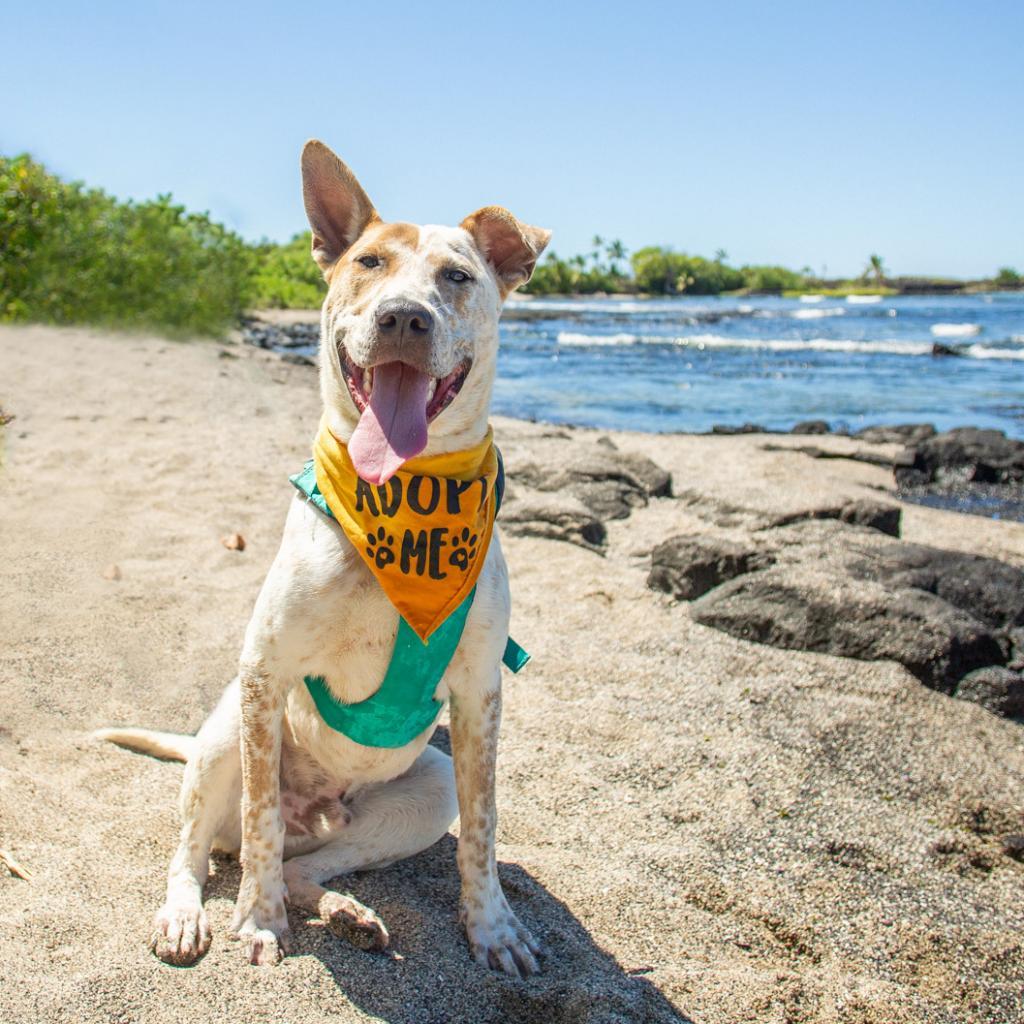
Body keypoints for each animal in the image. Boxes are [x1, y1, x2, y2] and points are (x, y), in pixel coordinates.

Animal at [97, 138, 552, 974]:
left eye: (457, 276)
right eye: (369, 262)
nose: (403, 316)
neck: (402, 494)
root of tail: (322, 807)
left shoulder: (479, 696)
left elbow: (484, 830)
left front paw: (493, 928)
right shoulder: (264, 673)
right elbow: (259, 821)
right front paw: (257, 921)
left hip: (426, 786)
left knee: (306, 860)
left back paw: (346, 912)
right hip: (220, 738)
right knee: (212, 845)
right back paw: (187, 914)